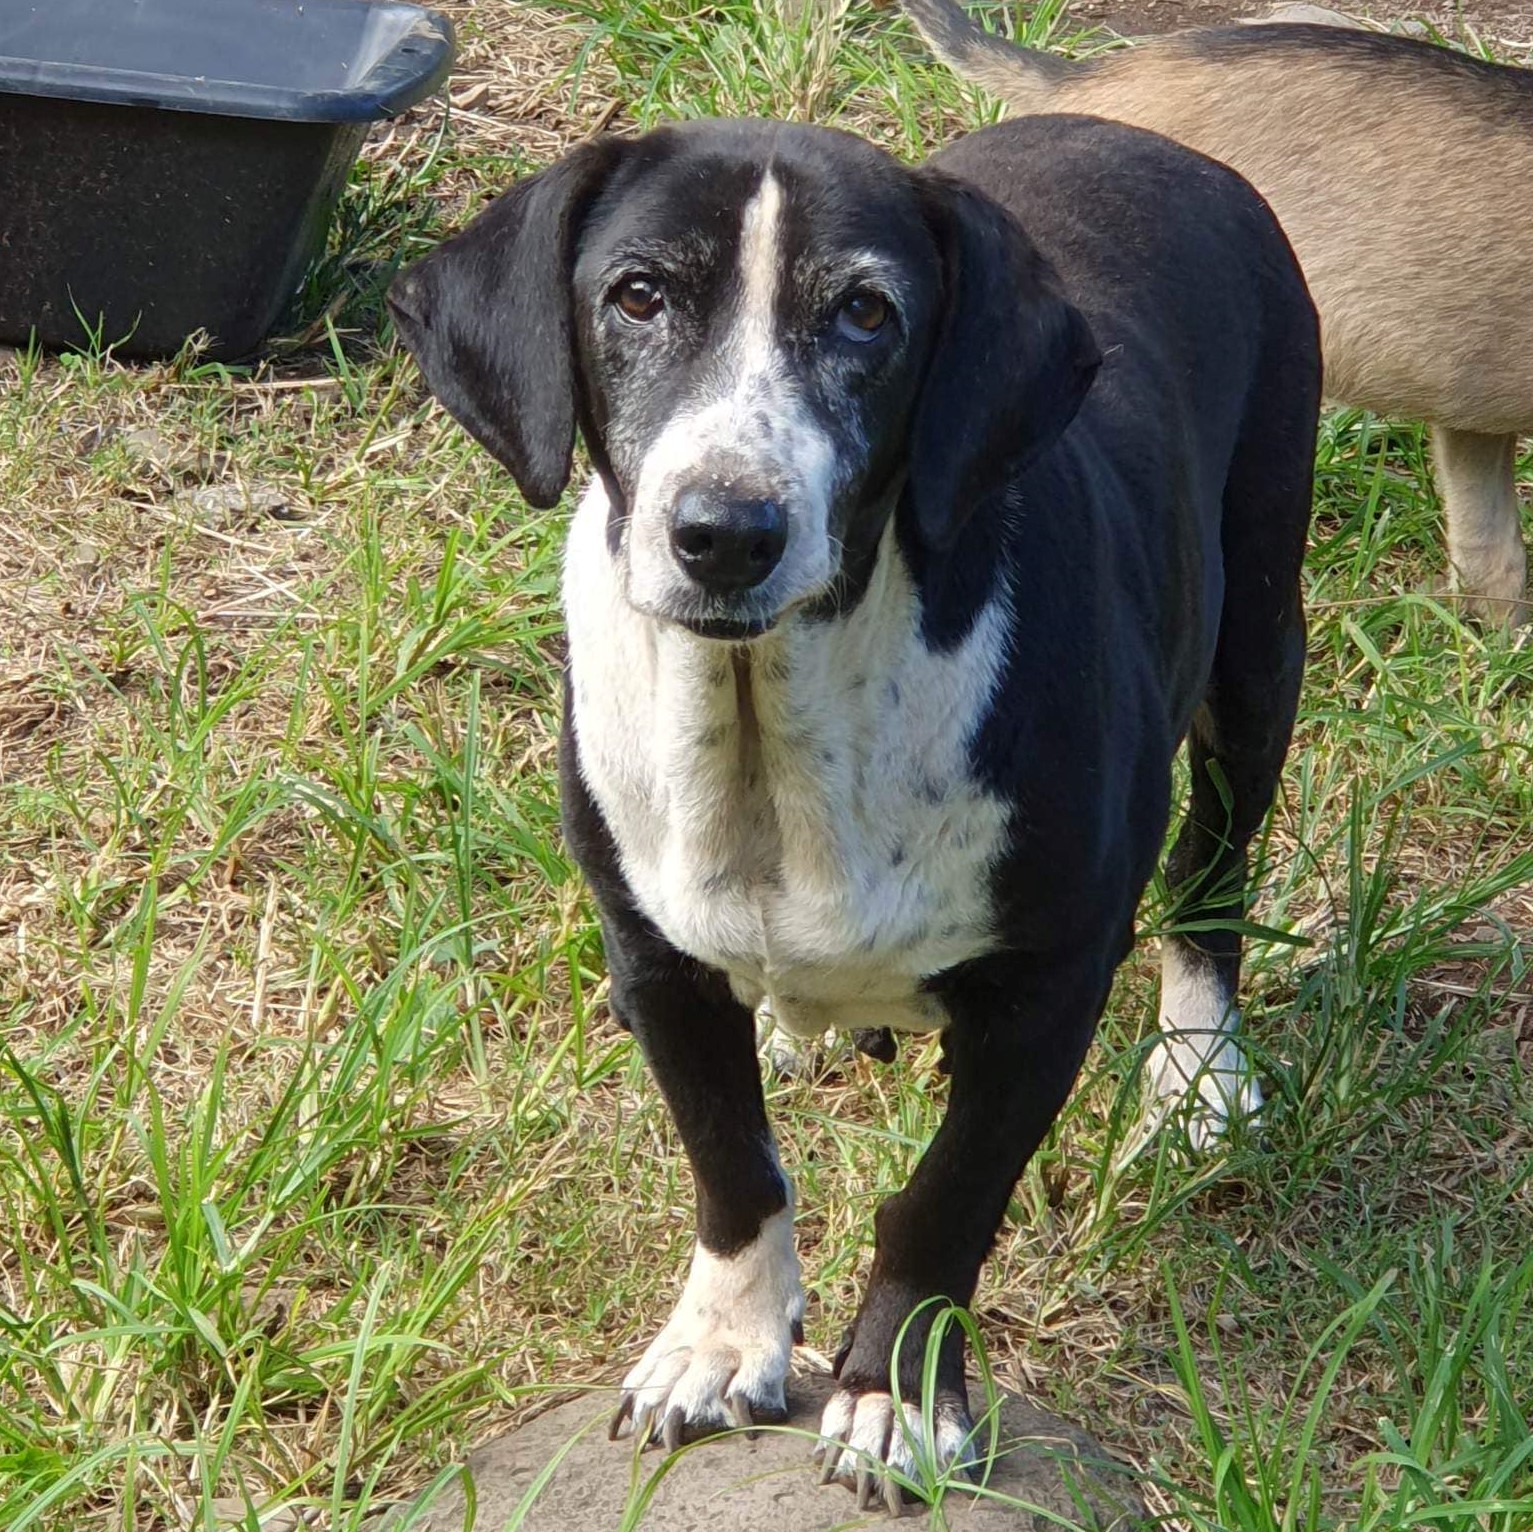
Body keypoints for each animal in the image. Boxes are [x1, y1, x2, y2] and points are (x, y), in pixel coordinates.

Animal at [389, 116, 1324, 1508]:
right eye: (637, 294)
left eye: (867, 313)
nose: (725, 530)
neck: (773, 720)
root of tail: (1155, 140)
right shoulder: (653, 957)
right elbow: (729, 1159)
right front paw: (718, 1344)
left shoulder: (1050, 984)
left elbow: (946, 1199)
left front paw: (898, 1397)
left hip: (1259, 629)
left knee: (1216, 870)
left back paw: (1200, 1068)